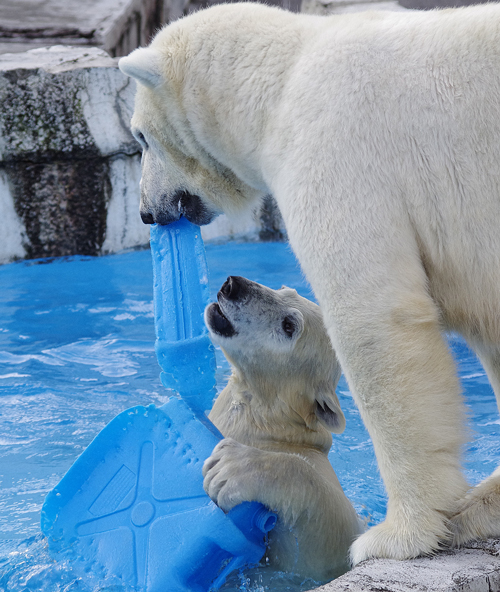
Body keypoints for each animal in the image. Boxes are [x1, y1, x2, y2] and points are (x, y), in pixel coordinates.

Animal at [119, 1, 500, 564]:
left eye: (142, 137)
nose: (147, 212)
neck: (281, 80)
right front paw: (476, 506)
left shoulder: (335, 153)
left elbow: (373, 320)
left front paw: (397, 536)